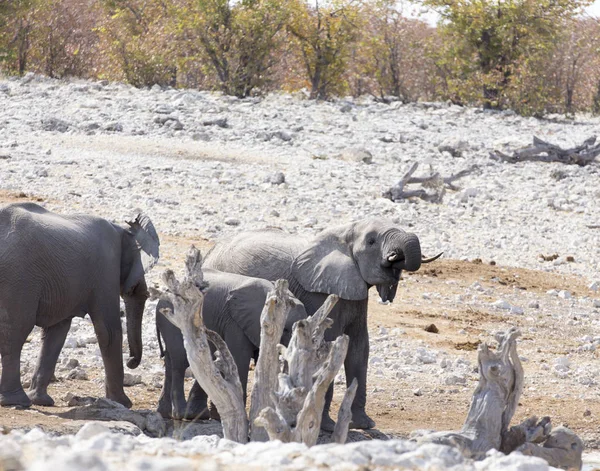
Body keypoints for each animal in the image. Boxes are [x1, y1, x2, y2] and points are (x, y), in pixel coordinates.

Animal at [0, 203, 159, 410]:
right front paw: (123, 404)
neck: (122, 229)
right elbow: (109, 331)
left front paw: (42, 401)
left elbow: (56, 332)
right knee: (17, 330)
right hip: (18, 278)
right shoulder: (106, 268)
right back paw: (16, 401)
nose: (131, 361)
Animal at [202, 218, 440, 432]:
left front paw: (365, 425)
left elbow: (359, 348)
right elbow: (327, 345)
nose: (394, 259)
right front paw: (326, 427)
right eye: (372, 241)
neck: (345, 233)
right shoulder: (320, 293)